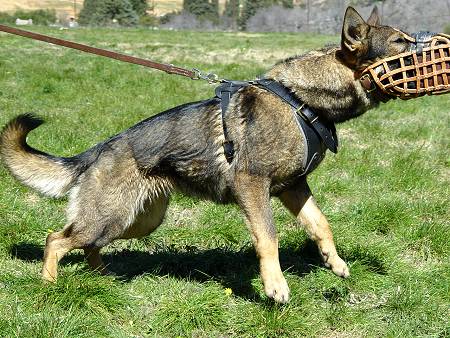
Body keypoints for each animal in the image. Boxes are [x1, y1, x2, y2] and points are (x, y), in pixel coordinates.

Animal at [0, 7, 412, 304]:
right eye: (400, 42)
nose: (428, 44)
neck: (302, 100)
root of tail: (101, 147)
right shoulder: (253, 186)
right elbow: (269, 237)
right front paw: (275, 286)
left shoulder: (294, 188)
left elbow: (322, 224)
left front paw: (335, 263)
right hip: (109, 217)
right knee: (55, 239)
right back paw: (49, 284)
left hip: (135, 221)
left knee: (87, 245)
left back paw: (101, 277)